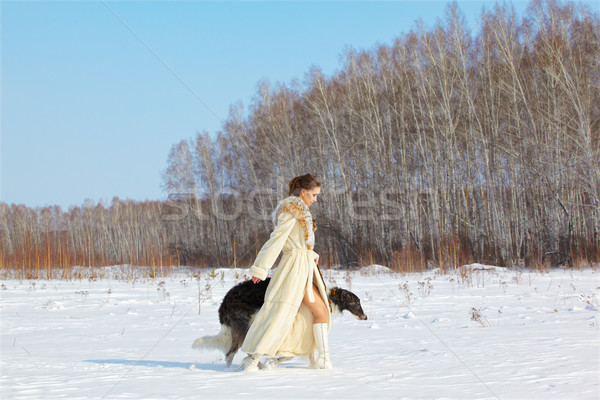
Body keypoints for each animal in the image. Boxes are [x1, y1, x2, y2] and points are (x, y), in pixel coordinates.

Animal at [192, 278, 368, 366]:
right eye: (356, 302)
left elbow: (308, 355)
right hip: (247, 324)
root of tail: (223, 305)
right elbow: (288, 354)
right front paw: (272, 361)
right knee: (235, 352)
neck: (328, 296)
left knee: (234, 352)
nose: (366, 317)